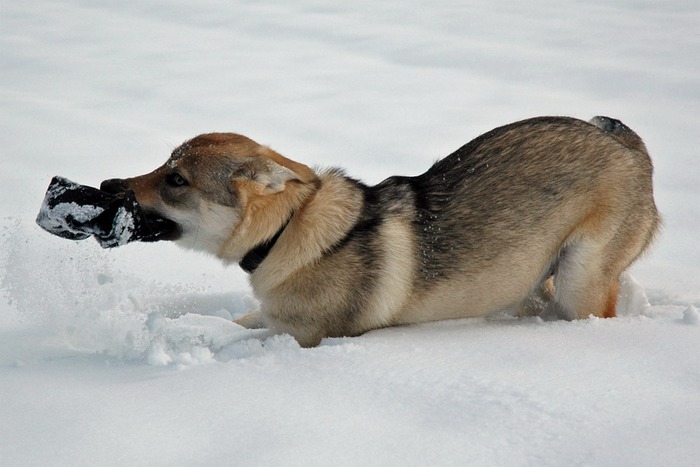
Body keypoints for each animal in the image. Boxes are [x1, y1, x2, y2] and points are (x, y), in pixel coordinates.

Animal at [100, 117, 660, 348]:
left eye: (175, 180)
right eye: (164, 165)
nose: (106, 184)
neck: (287, 233)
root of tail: (631, 150)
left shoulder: (306, 336)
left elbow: (230, 337)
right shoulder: (275, 315)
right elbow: (239, 320)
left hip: (581, 280)